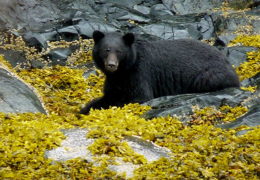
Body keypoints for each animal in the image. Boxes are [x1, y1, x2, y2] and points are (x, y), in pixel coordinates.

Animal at [79, 30, 240, 113]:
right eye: (106, 50)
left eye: (119, 51)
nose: (111, 65)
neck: (123, 71)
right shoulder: (115, 80)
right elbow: (108, 96)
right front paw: (85, 109)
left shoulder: (140, 73)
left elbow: (139, 97)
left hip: (209, 75)